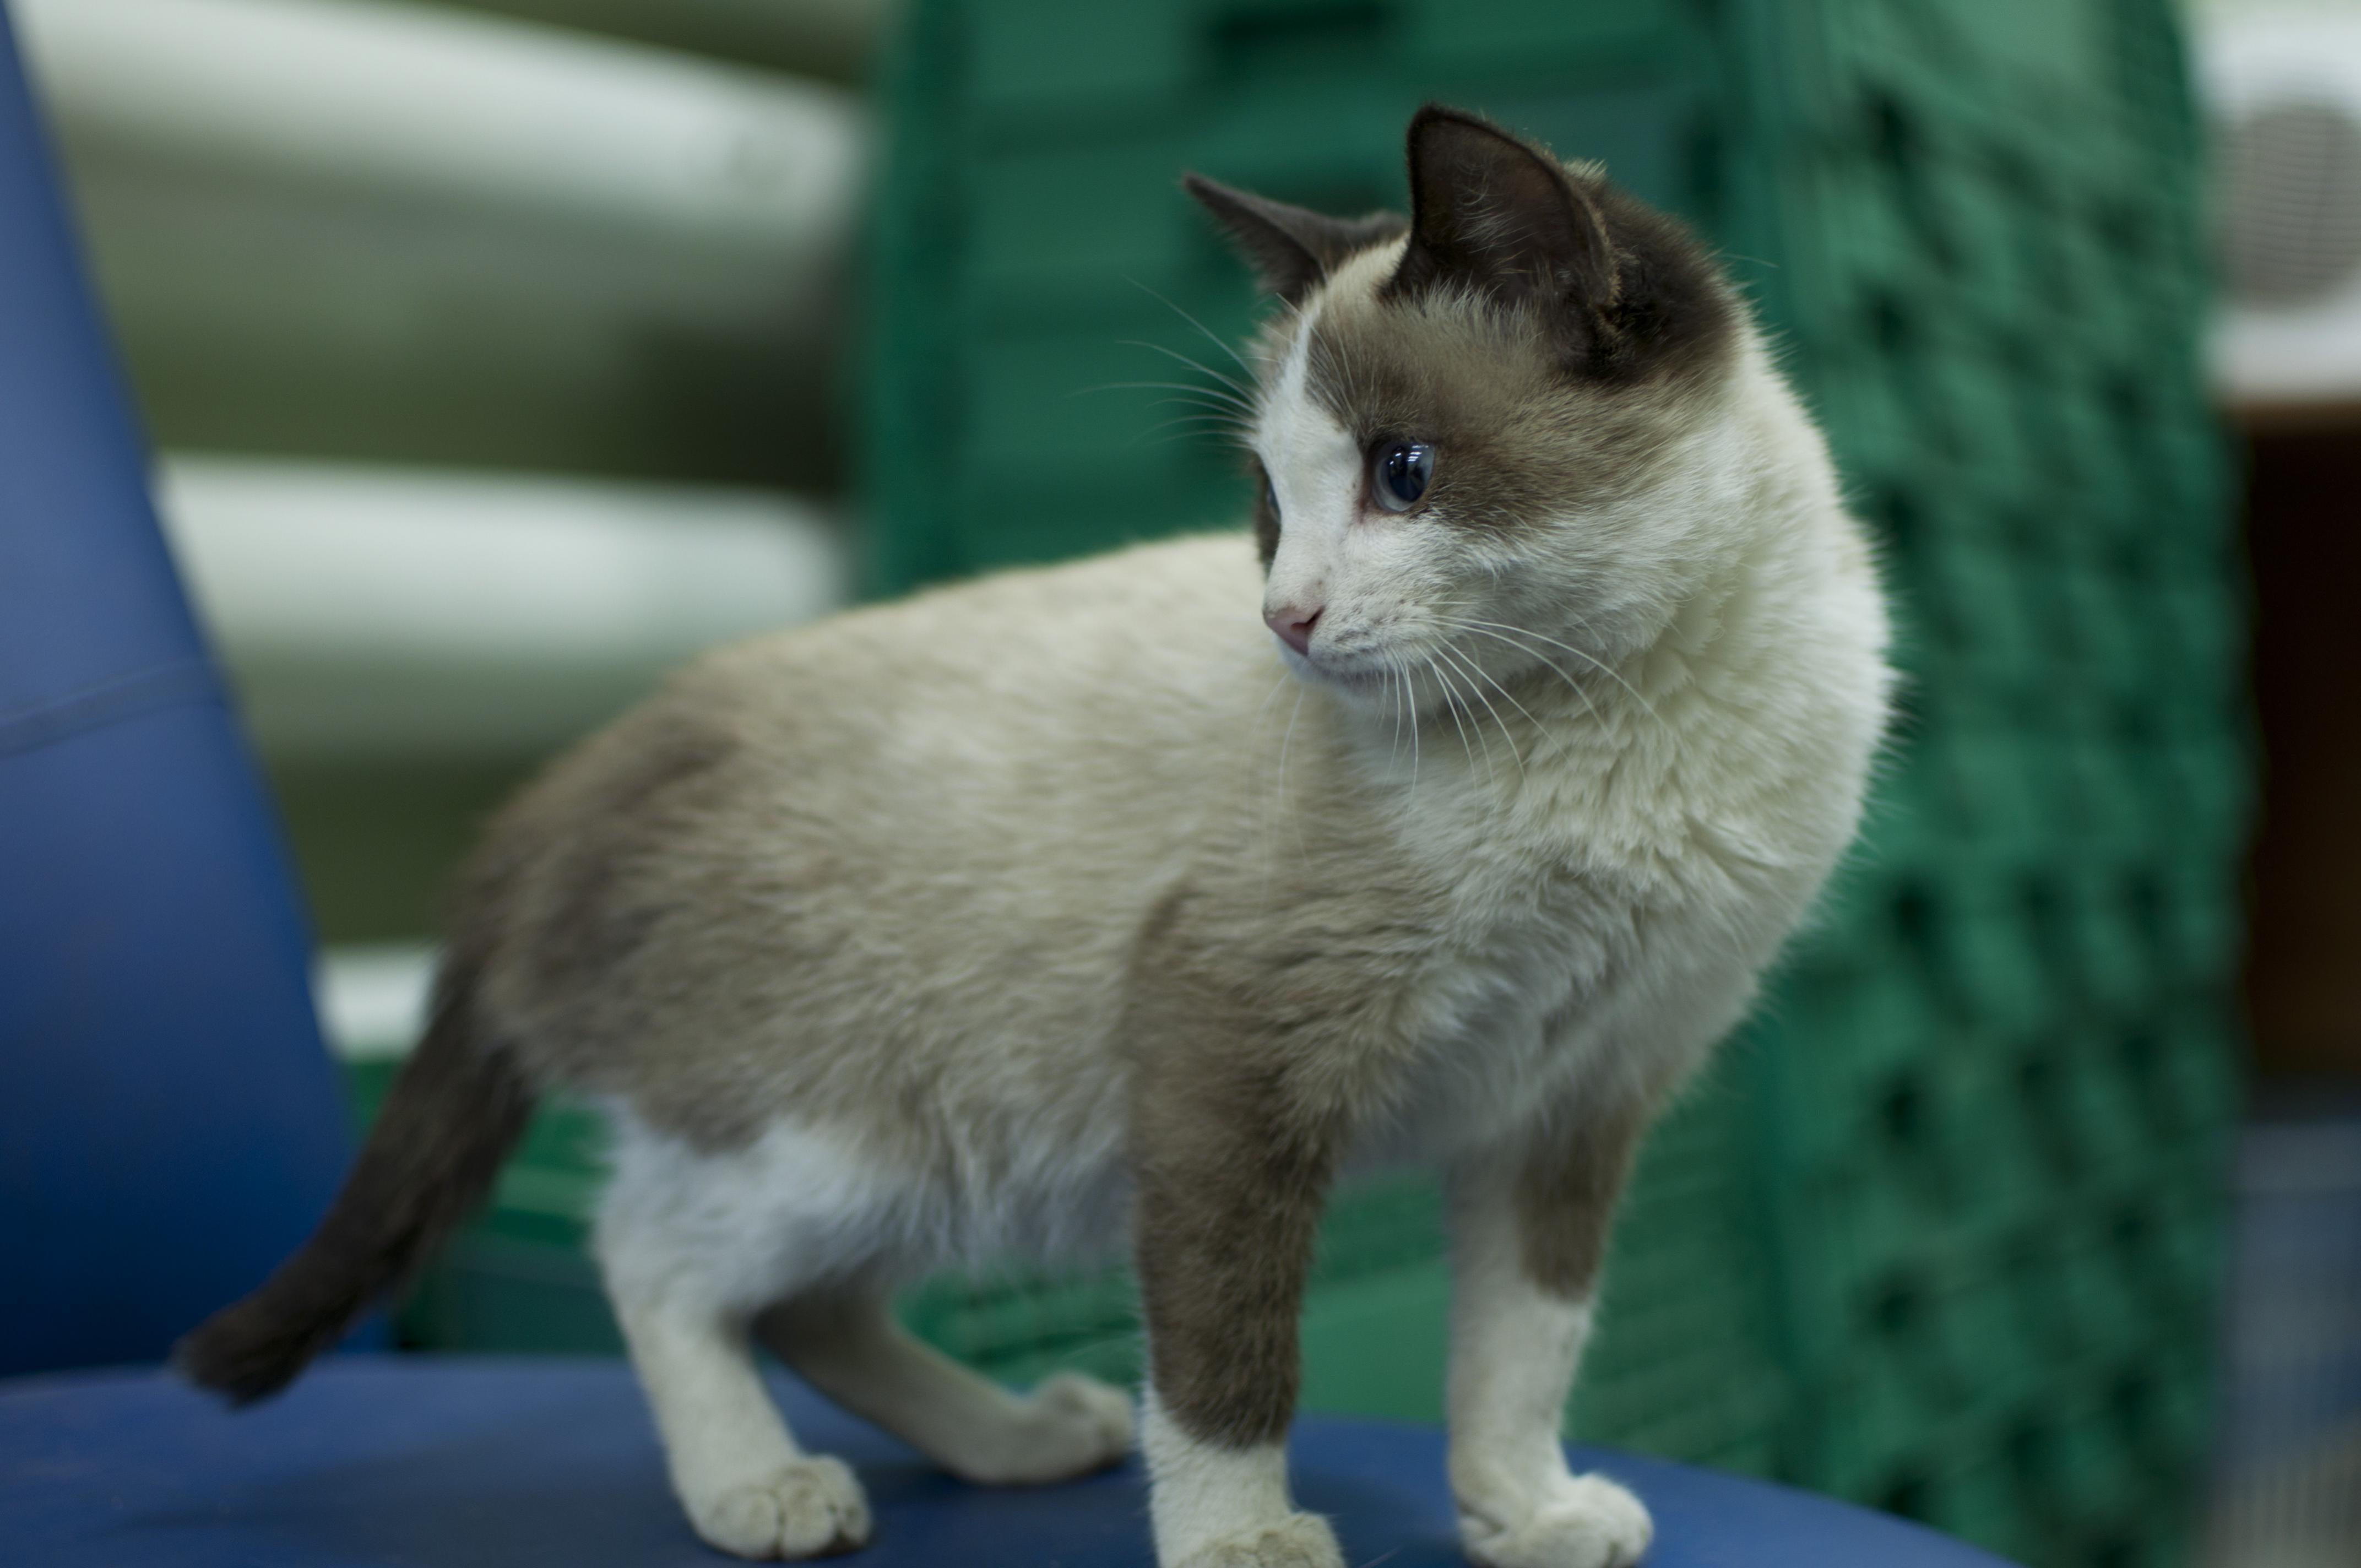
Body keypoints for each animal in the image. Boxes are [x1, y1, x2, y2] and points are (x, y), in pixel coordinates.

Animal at [181, 104, 1892, 1568]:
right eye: (1269, 504)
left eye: (1403, 476)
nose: (1284, 619)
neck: (1606, 723)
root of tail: (570, 779)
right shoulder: (1227, 1054)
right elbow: (1224, 1360)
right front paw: (1239, 1543)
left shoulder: (1573, 1099)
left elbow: (1524, 1346)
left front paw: (1523, 1512)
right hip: (843, 1133)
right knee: (656, 1257)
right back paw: (761, 1488)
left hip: (933, 1165)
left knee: (806, 1309)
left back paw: (1012, 1439)